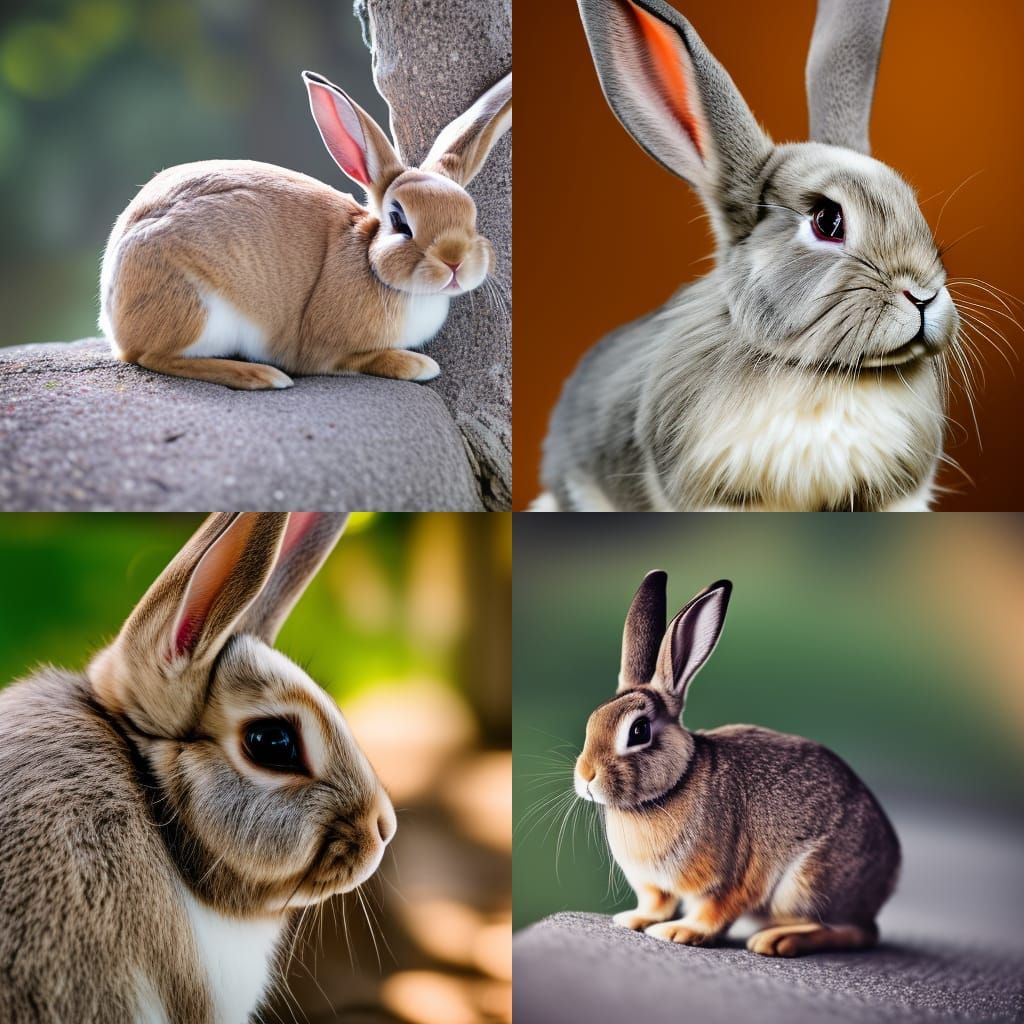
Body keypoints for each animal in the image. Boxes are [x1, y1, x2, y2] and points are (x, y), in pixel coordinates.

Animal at [98, 68, 511, 390]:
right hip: (196, 307)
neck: (371, 263)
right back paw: (260, 376)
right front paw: (417, 364)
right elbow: (360, 359)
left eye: (471, 215)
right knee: (153, 356)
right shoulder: (327, 351)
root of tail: (113, 315)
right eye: (399, 221)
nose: (455, 262)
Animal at [574, 571, 900, 956]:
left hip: (805, 885)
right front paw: (632, 920)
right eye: (594, 719)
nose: (586, 776)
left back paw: (777, 940)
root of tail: (891, 872)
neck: (673, 785)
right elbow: (656, 904)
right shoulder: (654, 887)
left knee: (856, 931)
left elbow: (714, 913)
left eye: (639, 731)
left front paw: (678, 932)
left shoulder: (729, 880)